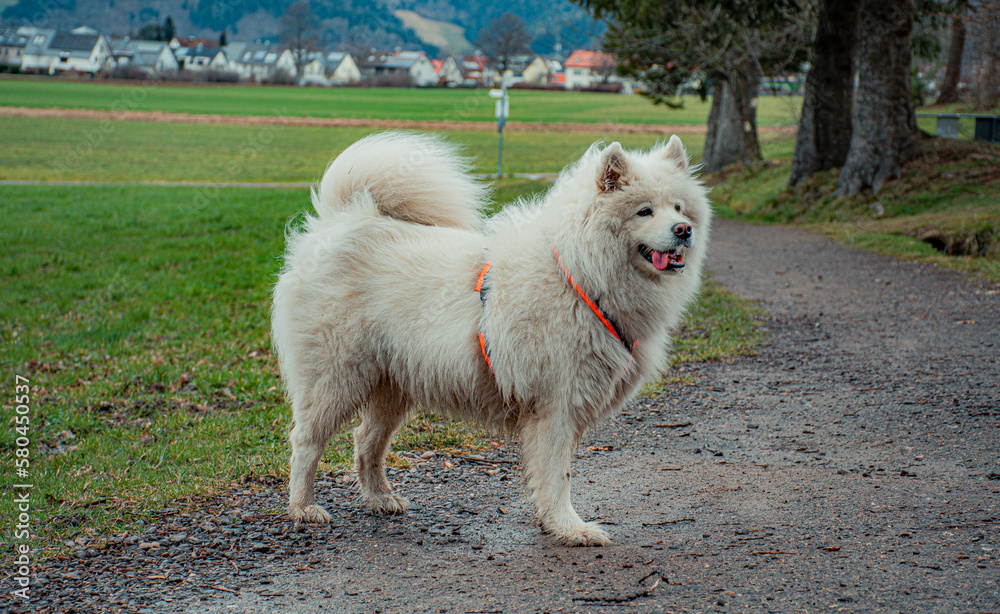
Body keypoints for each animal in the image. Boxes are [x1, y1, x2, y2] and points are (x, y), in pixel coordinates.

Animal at [274, 132, 712, 548]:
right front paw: (570, 528)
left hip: (392, 385)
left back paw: (380, 498)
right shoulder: (555, 406)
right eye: (644, 211)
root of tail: (342, 221)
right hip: (336, 379)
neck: (578, 276)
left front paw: (552, 522)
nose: (684, 230)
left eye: (678, 208)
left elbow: (554, 474)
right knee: (307, 441)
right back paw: (304, 506)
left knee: (367, 440)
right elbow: (557, 476)